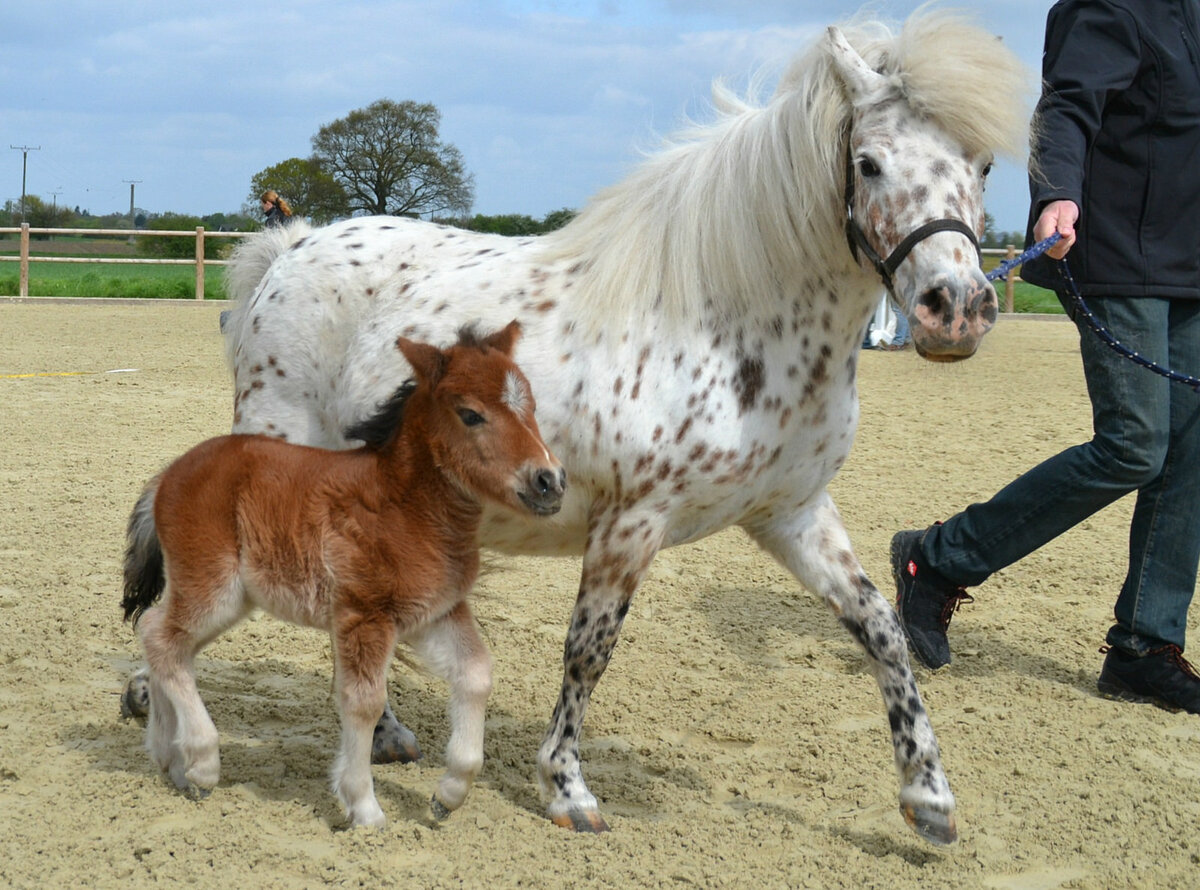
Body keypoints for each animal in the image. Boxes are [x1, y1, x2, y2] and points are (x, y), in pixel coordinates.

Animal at [129, 10, 1032, 844]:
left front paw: (929, 798)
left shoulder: (792, 514)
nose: (955, 309)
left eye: (983, 164)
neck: (730, 319)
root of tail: (291, 247)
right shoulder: (632, 522)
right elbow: (589, 650)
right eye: (869, 162)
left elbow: (881, 630)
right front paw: (566, 788)